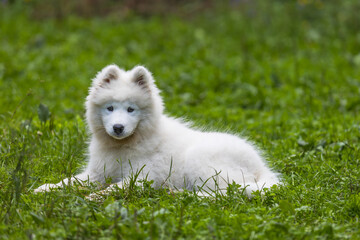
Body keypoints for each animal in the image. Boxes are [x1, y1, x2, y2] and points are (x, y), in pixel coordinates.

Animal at [34, 64, 278, 197]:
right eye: (110, 108)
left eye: (131, 109)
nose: (118, 127)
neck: (125, 145)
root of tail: (261, 168)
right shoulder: (96, 173)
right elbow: (68, 181)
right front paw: (44, 188)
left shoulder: (142, 177)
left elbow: (112, 189)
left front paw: (93, 197)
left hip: (200, 162)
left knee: (223, 194)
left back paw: (179, 194)